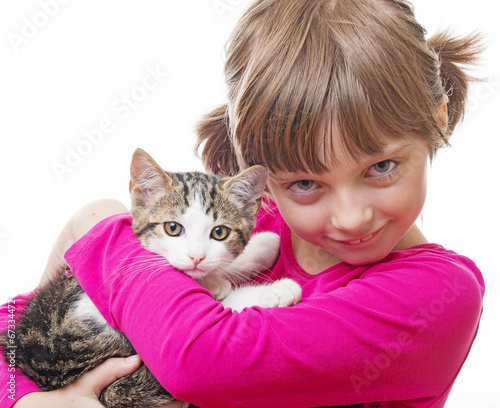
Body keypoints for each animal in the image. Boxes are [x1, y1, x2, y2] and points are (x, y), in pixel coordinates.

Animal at [0, 148, 300, 408]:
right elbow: (222, 310)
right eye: (173, 228)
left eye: (219, 233)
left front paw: (262, 247)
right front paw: (277, 289)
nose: (196, 257)